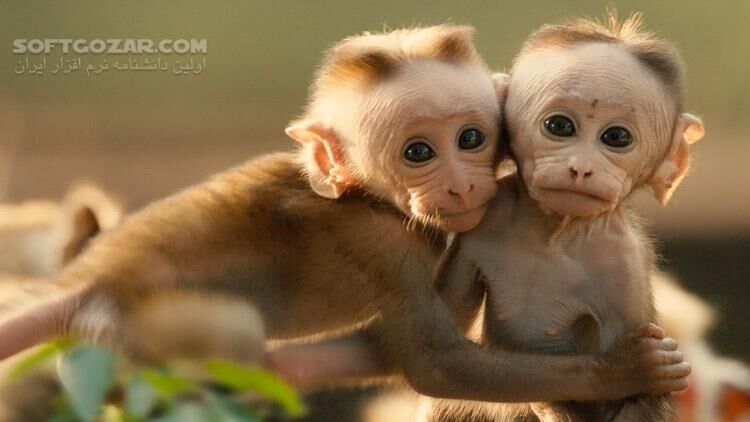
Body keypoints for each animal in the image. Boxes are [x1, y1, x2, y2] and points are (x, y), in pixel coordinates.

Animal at [0, 25, 687, 409]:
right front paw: (617, 372)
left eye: (471, 139)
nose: (462, 183)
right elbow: (431, 361)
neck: (369, 197)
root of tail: (89, 277)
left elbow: (388, 348)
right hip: (145, 323)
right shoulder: (377, 242)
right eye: (418, 152)